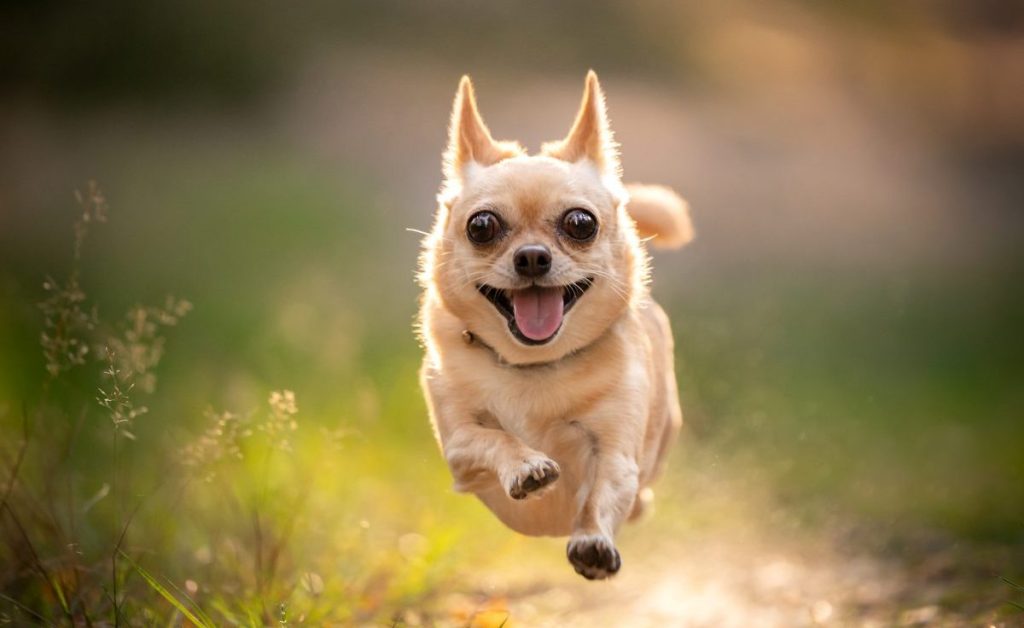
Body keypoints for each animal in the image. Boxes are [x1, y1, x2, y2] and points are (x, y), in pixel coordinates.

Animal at [417, 69, 696, 577]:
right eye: (481, 226)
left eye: (580, 223)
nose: (532, 256)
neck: (534, 367)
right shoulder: (459, 448)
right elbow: (494, 436)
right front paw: (526, 466)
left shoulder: (616, 456)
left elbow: (602, 493)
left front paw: (593, 541)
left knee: (639, 495)